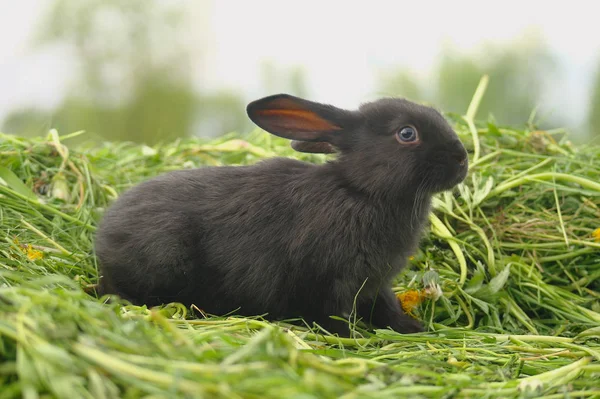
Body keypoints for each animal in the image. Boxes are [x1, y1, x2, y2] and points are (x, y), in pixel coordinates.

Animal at [95, 95, 468, 336]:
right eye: (406, 133)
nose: (462, 159)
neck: (361, 191)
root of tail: (103, 239)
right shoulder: (327, 280)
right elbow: (330, 314)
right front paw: (352, 337)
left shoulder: (376, 283)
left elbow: (386, 307)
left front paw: (414, 328)